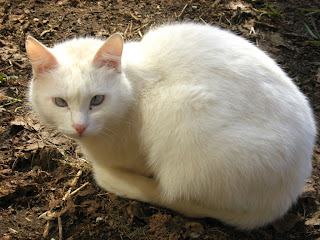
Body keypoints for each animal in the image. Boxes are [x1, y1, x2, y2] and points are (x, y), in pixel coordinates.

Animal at [26, 23, 316, 231]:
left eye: (97, 100)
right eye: (60, 102)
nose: (79, 126)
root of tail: (285, 199)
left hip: (184, 116)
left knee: (175, 195)